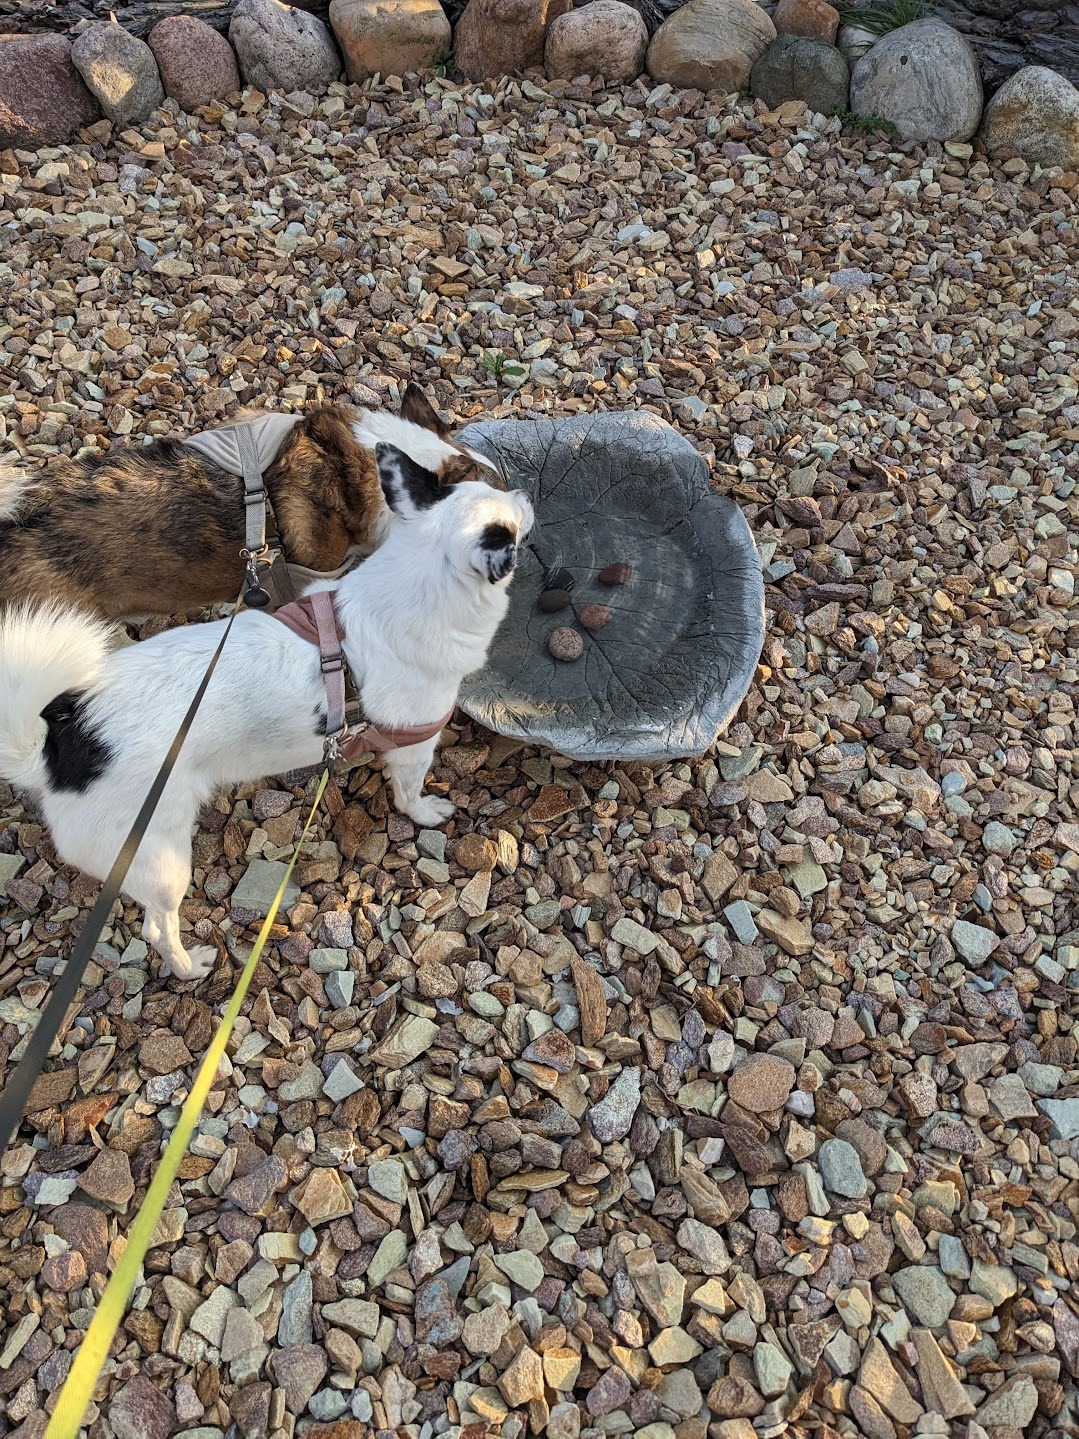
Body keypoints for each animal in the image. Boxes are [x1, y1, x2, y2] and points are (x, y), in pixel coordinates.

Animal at [0, 448, 532, 984]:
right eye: (510, 522)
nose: (525, 492)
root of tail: (59, 746)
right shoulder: (413, 748)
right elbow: (409, 796)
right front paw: (426, 813)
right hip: (159, 857)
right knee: (157, 929)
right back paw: (191, 966)